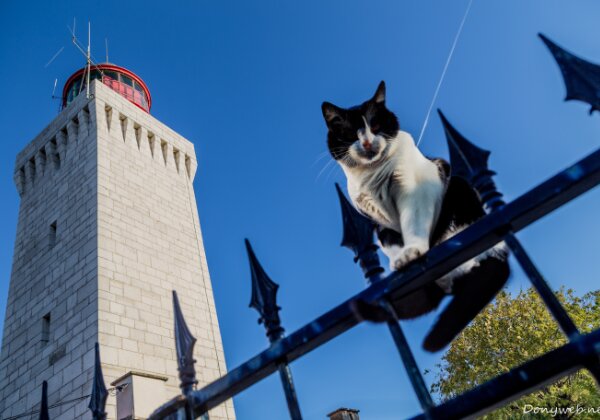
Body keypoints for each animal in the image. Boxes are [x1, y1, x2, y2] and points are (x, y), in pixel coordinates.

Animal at [322, 81, 509, 351]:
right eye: (351, 135)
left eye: (375, 127)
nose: (367, 143)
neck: (372, 176)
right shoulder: (379, 223)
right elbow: (391, 242)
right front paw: (399, 259)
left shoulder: (415, 192)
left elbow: (413, 223)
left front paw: (412, 252)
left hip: (460, 194)